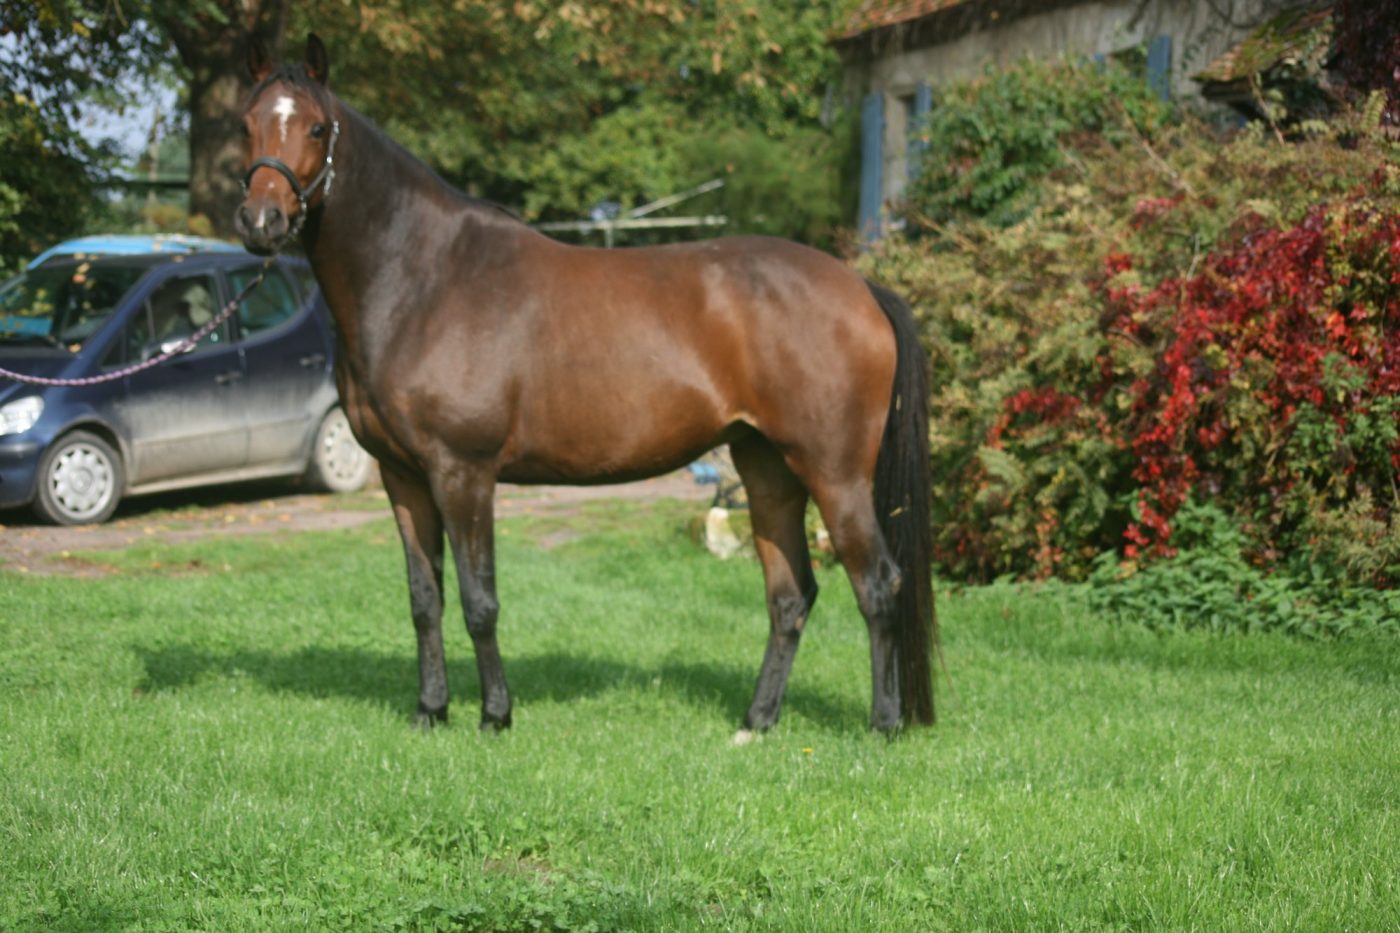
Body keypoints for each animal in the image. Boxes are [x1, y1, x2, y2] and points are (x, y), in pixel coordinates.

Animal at [235, 34, 935, 735]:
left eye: (317, 127)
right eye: (246, 123)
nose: (262, 221)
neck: (425, 280)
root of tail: (860, 286)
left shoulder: (464, 472)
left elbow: (480, 600)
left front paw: (495, 716)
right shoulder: (401, 475)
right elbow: (424, 599)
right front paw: (430, 711)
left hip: (834, 473)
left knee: (878, 583)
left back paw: (883, 724)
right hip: (766, 469)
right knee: (791, 594)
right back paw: (756, 722)